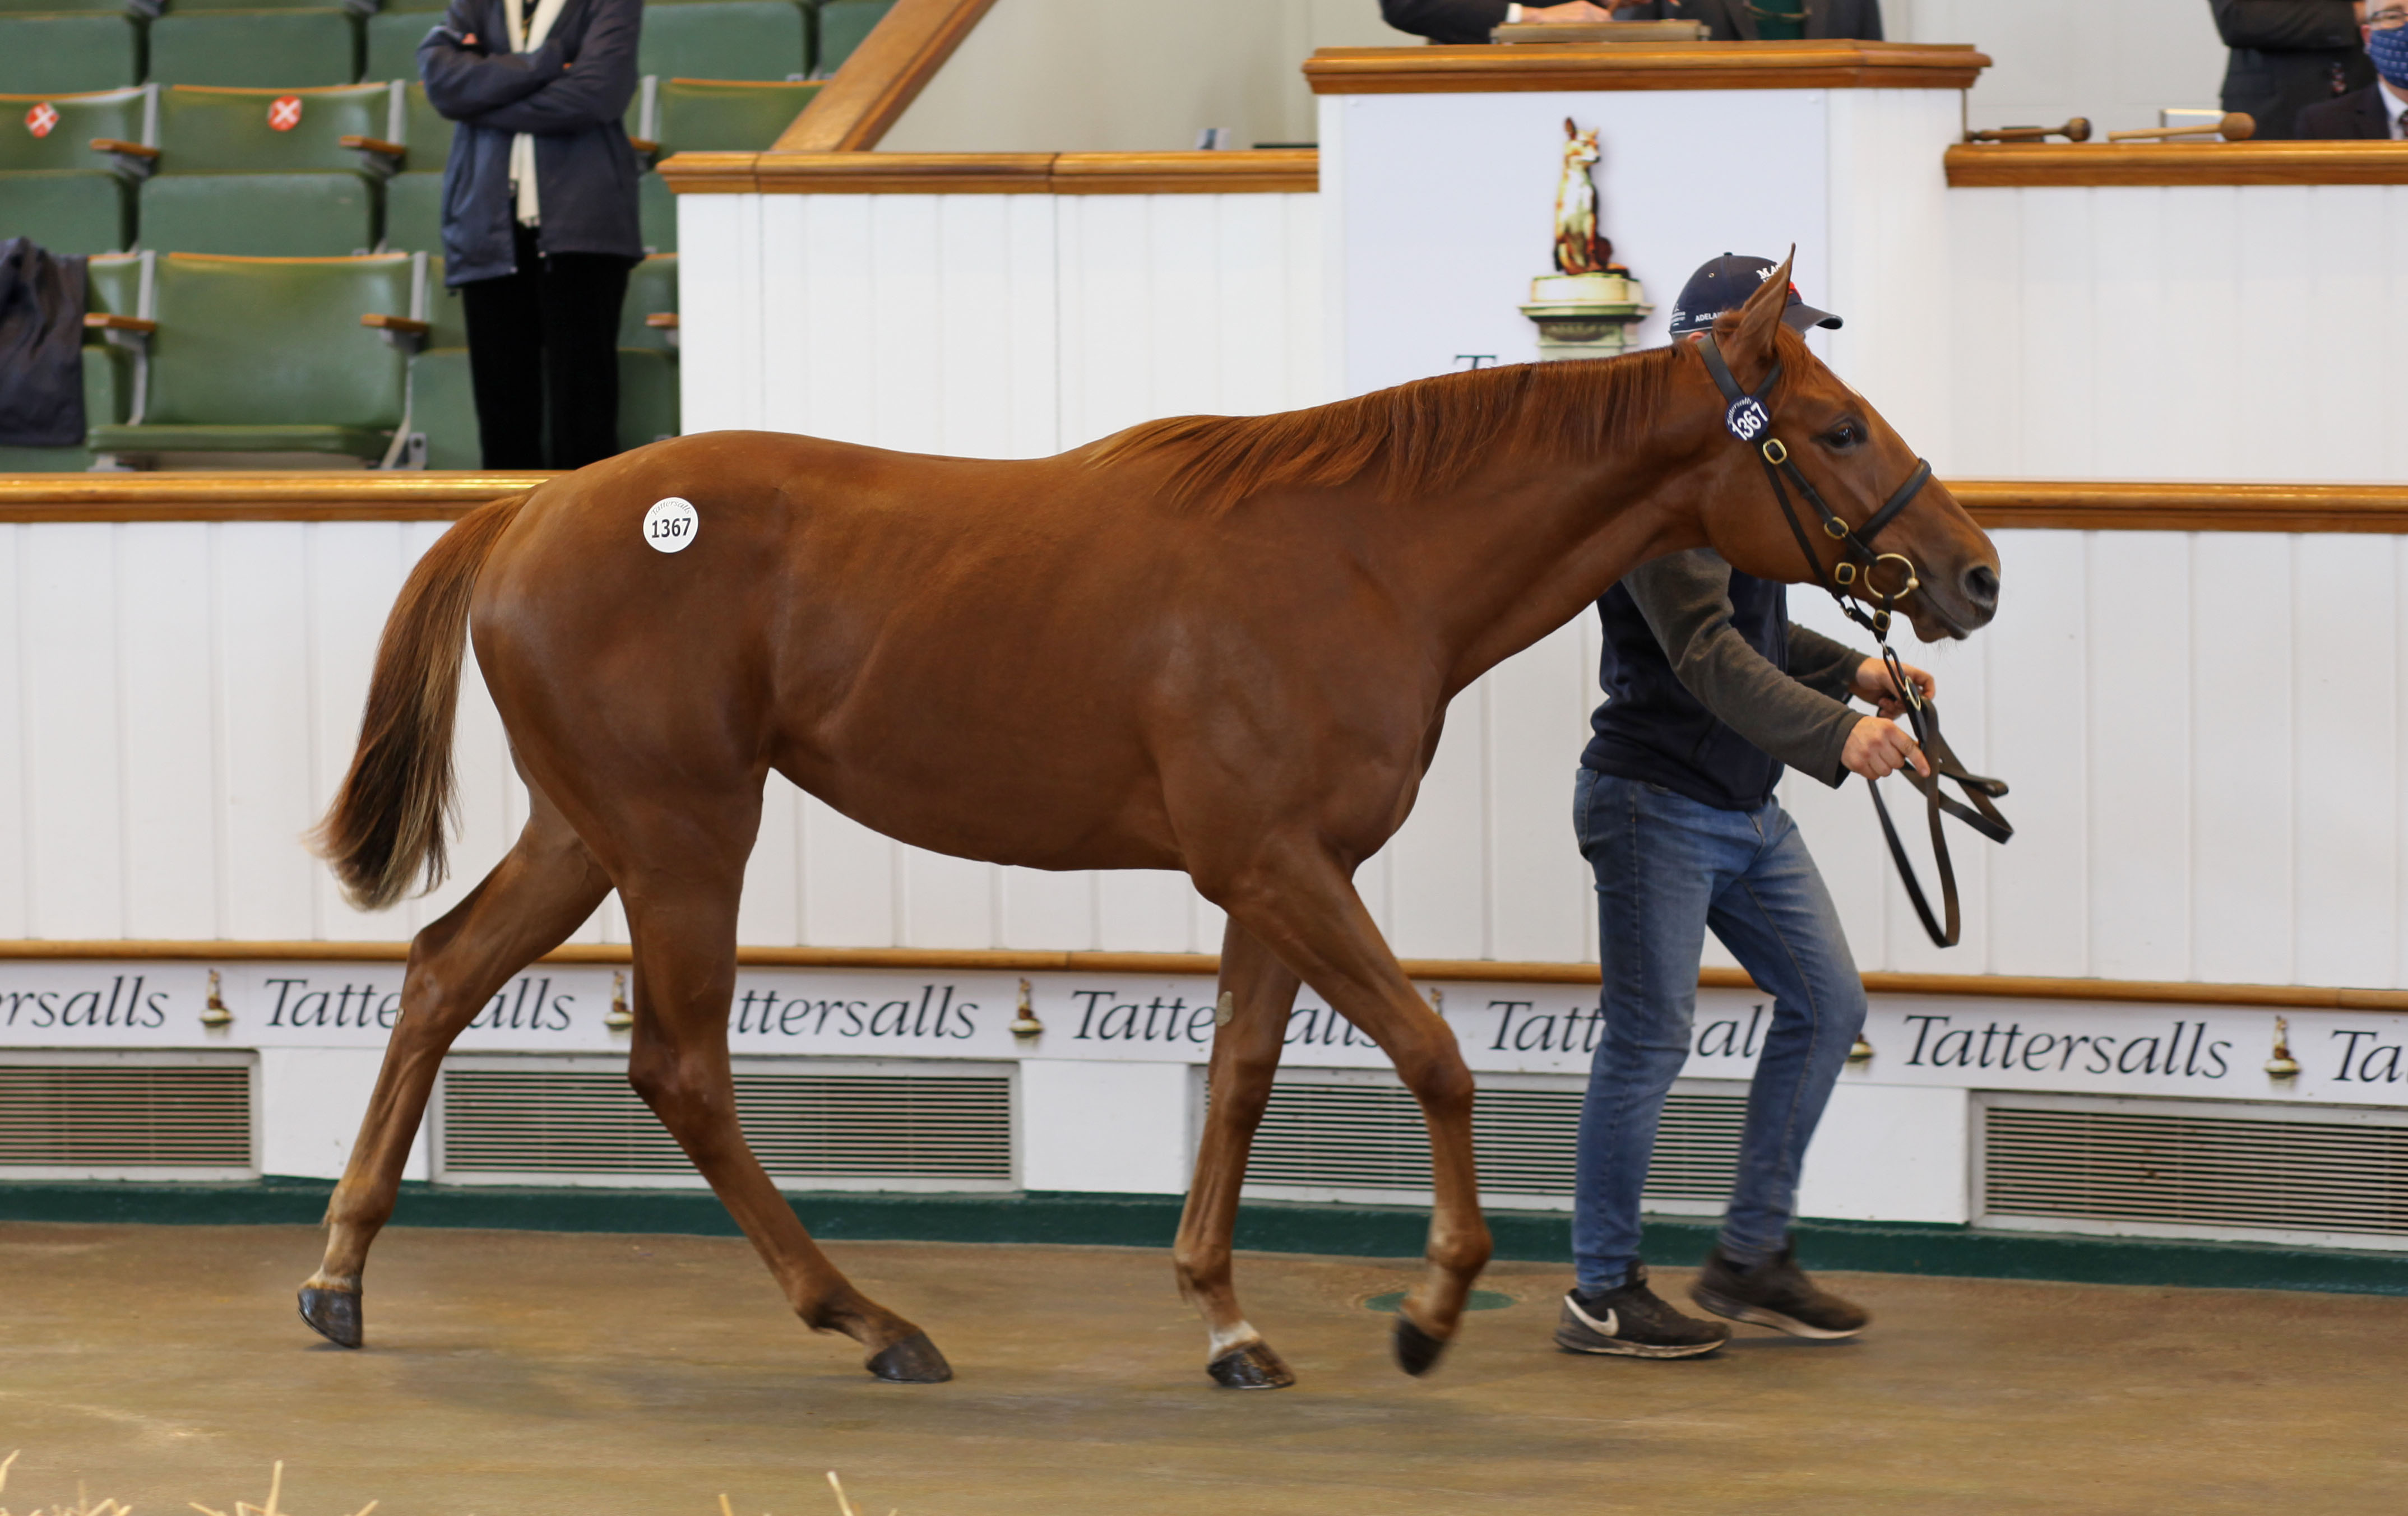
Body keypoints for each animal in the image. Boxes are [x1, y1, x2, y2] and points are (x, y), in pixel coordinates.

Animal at [301, 258, 1994, 1386]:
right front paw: (1429, 1309)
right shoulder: (1278, 863)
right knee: (678, 1067)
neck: (1361, 555)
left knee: (442, 973)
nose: (1973, 574)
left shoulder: (1277, 876)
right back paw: (872, 1320)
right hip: (680, 838)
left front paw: (1231, 1322)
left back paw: (338, 1278)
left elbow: (1238, 1078)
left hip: (590, 833)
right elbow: (1434, 1055)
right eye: (1838, 427)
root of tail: (523, 512)